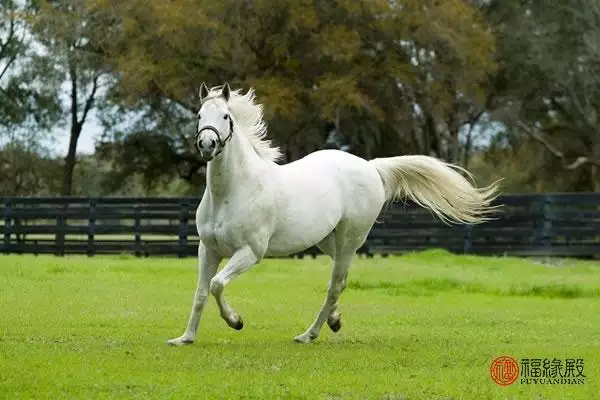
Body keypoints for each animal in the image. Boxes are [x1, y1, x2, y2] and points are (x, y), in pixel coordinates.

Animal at [168, 83, 496, 346]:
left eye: (226, 117)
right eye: (199, 116)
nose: (207, 144)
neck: (232, 191)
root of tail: (370, 167)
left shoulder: (250, 252)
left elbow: (216, 285)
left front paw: (236, 321)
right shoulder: (207, 250)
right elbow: (201, 293)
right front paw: (185, 338)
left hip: (351, 239)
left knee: (335, 283)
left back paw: (309, 334)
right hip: (329, 240)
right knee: (340, 281)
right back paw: (333, 321)